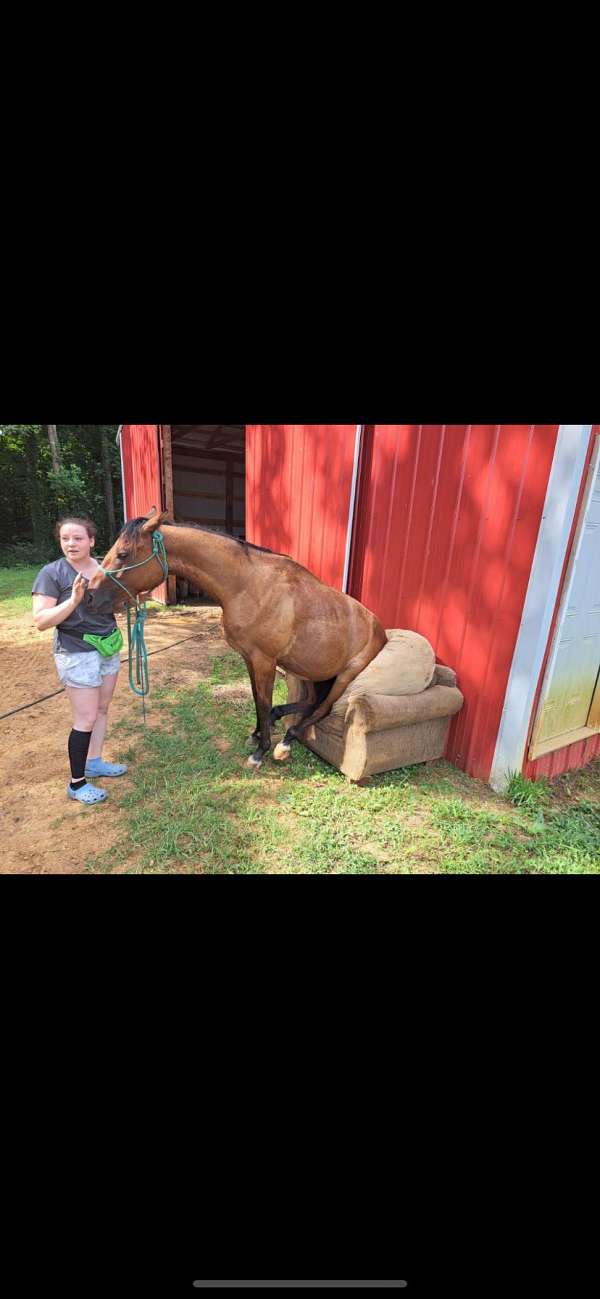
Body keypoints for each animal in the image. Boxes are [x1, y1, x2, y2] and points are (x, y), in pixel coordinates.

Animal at [90, 506, 387, 769]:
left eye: (123, 553)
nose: (91, 594)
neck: (247, 585)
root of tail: (379, 629)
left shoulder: (265, 661)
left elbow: (264, 701)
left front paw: (260, 752)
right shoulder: (249, 658)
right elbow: (257, 699)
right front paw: (257, 734)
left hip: (345, 675)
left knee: (323, 707)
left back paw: (285, 743)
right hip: (308, 670)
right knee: (311, 701)